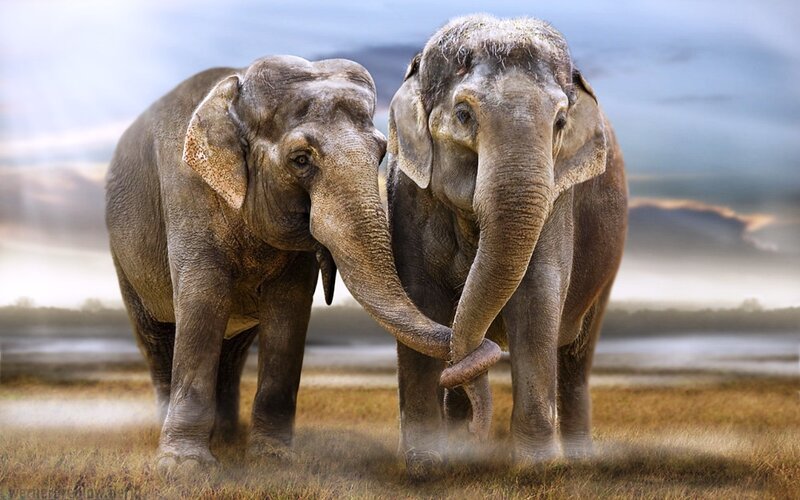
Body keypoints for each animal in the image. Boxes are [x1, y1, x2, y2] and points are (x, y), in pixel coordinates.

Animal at [105, 55, 497, 477]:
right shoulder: (187, 191)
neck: (236, 91)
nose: (476, 430)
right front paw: (184, 469)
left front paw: (273, 460)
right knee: (157, 336)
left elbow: (289, 311)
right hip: (124, 259)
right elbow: (202, 301)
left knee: (234, 349)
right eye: (301, 160)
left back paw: (227, 439)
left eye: (380, 153)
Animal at [387, 15, 628, 469]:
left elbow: (537, 297)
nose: (477, 430)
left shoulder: (558, 199)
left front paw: (537, 468)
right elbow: (419, 298)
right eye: (464, 114)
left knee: (577, 357)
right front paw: (425, 466)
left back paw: (578, 460)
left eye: (560, 123)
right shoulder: (407, 192)